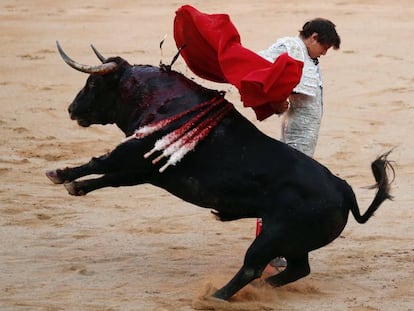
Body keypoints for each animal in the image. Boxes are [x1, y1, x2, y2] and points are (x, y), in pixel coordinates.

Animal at [47, 42, 392, 302]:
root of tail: (344, 189)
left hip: (272, 236)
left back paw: (215, 296)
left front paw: (59, 174)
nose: (71, 109)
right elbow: (110, 178)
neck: (163, 100)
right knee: (297, 269)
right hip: (293, 241)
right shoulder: (148, 170)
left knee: (253, 267)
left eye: (93, 83)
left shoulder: (136, 153)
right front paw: (74, 186)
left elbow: (101, 162)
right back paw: (259, 289)